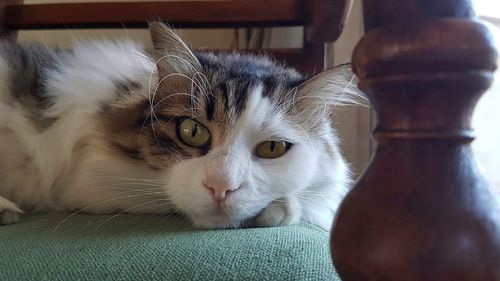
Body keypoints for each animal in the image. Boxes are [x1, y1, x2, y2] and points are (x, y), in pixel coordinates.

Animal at [0, 23, 356, 229]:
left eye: (272, 148)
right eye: (192, 132)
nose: (220, 187)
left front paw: (281, 207)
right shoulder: (90, 180)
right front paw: (279, 209)